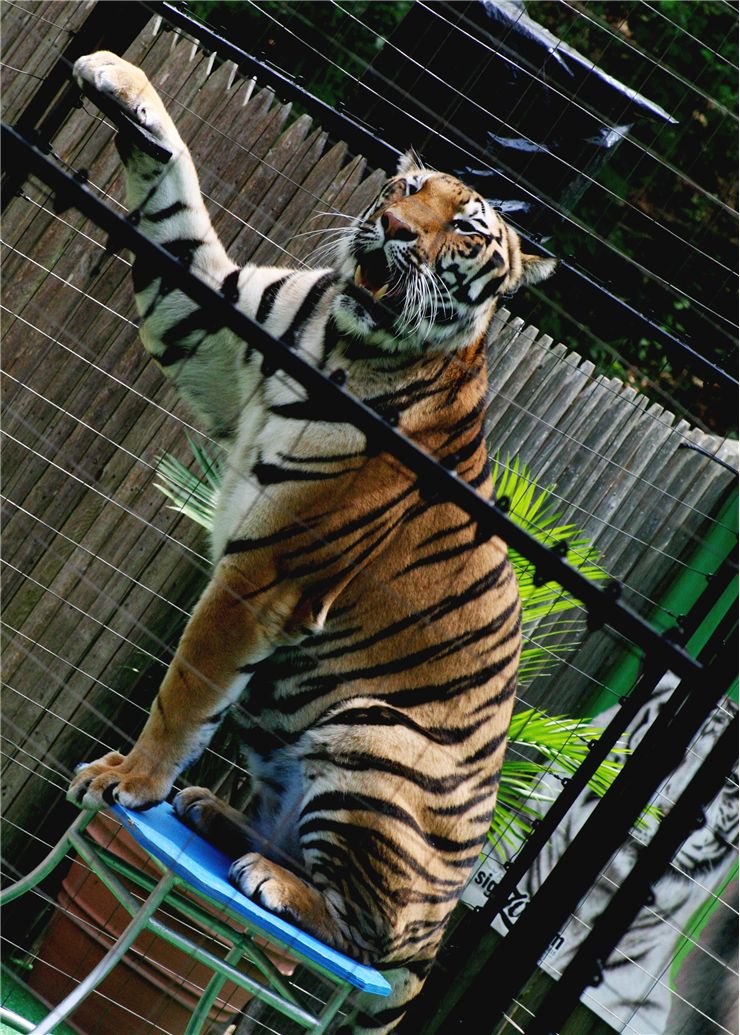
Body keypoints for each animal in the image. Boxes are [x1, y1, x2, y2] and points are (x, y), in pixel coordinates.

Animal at [67, 51, 556, 1034]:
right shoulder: (211, 326)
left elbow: (185, 692)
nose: (393, 230)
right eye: (405, 188)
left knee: (357, 937)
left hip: (373, 739)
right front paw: (118, 78)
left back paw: (273, 881)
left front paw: (128, 778)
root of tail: (437, 944)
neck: (341, 338)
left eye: (462, 230)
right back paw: (218, 817)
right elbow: (175, 199)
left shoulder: (264, 576)